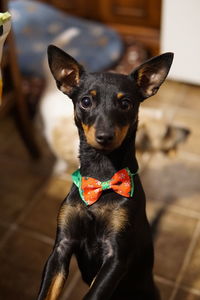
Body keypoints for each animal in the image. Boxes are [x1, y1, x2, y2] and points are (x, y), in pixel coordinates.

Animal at [37, 45, 173, 300]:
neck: (101, 175)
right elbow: (47, 291)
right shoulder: (61, 247)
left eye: (126, 103)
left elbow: (94, 293)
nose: (105, 136)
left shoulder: (115, 258)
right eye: (85, 101)